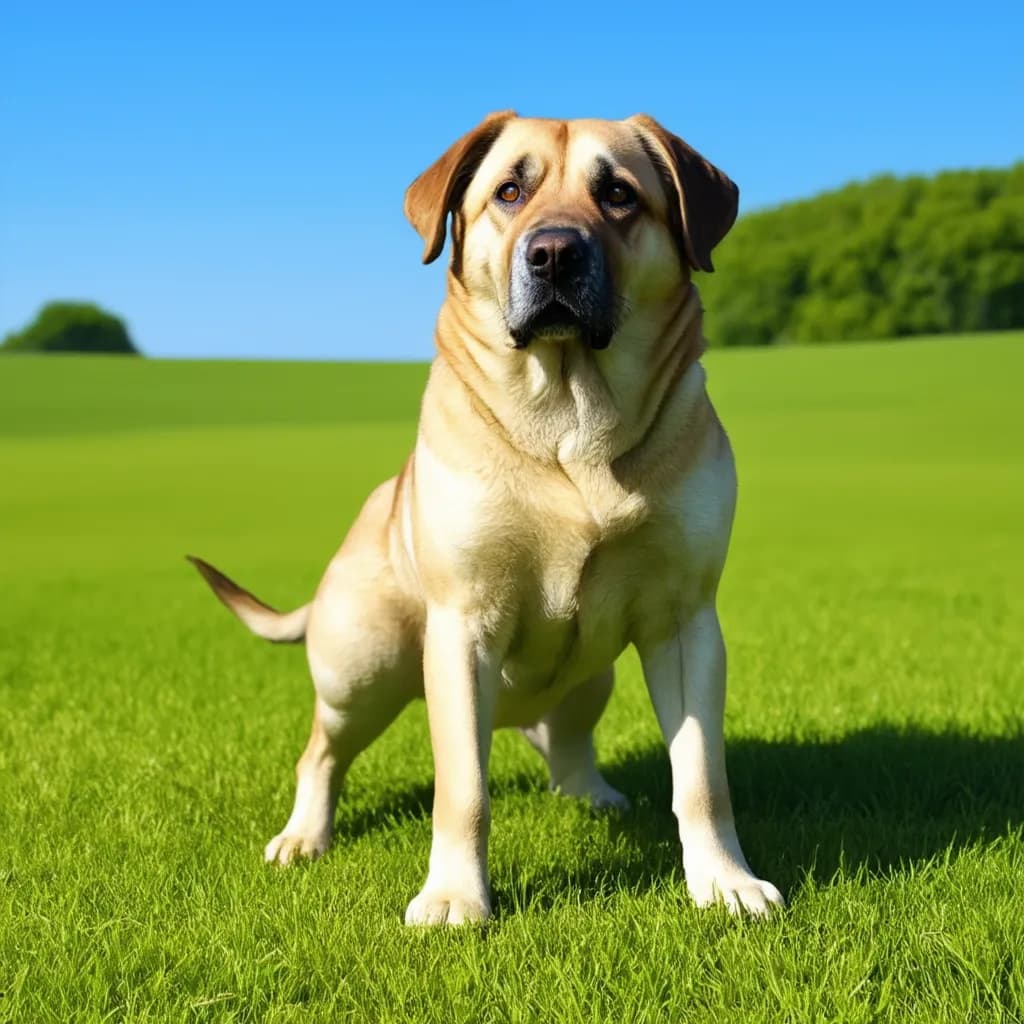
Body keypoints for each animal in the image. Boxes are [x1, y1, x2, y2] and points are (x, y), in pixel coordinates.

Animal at [190, 114, 782, 929]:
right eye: (509, 191)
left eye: (618, 194)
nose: (555, 252)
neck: (571, 421)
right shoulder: (465, 625)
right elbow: (462, 790)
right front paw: (453, 898)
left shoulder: (684, 623)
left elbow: (700, 777)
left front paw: (724, 881)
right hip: (358, 671)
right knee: (320, 754)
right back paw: (302, 838)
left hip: (591, 679)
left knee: (569, 742)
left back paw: (593, 795)